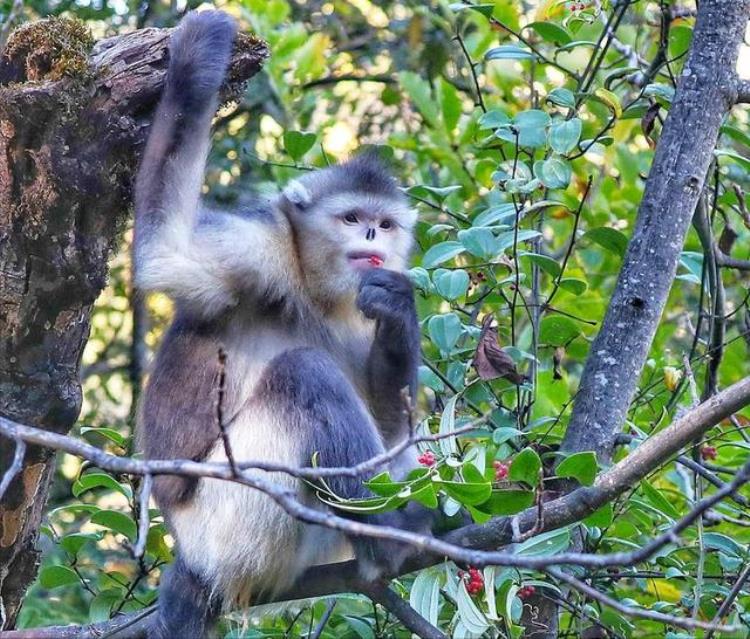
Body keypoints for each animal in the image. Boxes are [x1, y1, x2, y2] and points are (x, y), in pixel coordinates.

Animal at [134, 10, 428, 639]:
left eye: (385, 223)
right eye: (352, 218)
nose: (373, 236)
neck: (313, 293)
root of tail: (192, 555)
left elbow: (395, 433)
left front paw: (399, 313)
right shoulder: (258, 250)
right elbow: (165, 255)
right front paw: (198, 59)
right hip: (232, 519)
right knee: (303, 372)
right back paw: (391, 536)